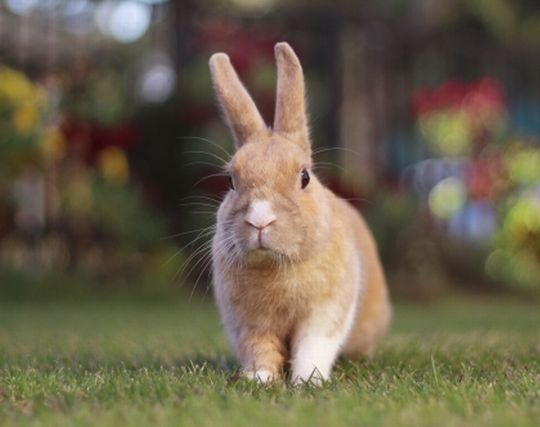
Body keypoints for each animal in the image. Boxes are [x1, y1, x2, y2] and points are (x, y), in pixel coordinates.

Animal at [209, 42, 390, 384]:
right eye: (230, 180)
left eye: (304, 177)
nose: (260, 219)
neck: (275, 267)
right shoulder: (249, 323)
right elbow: (260, 348)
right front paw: (260, 379)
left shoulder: (324, 313)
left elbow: (312, 346)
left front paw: (308, 380)